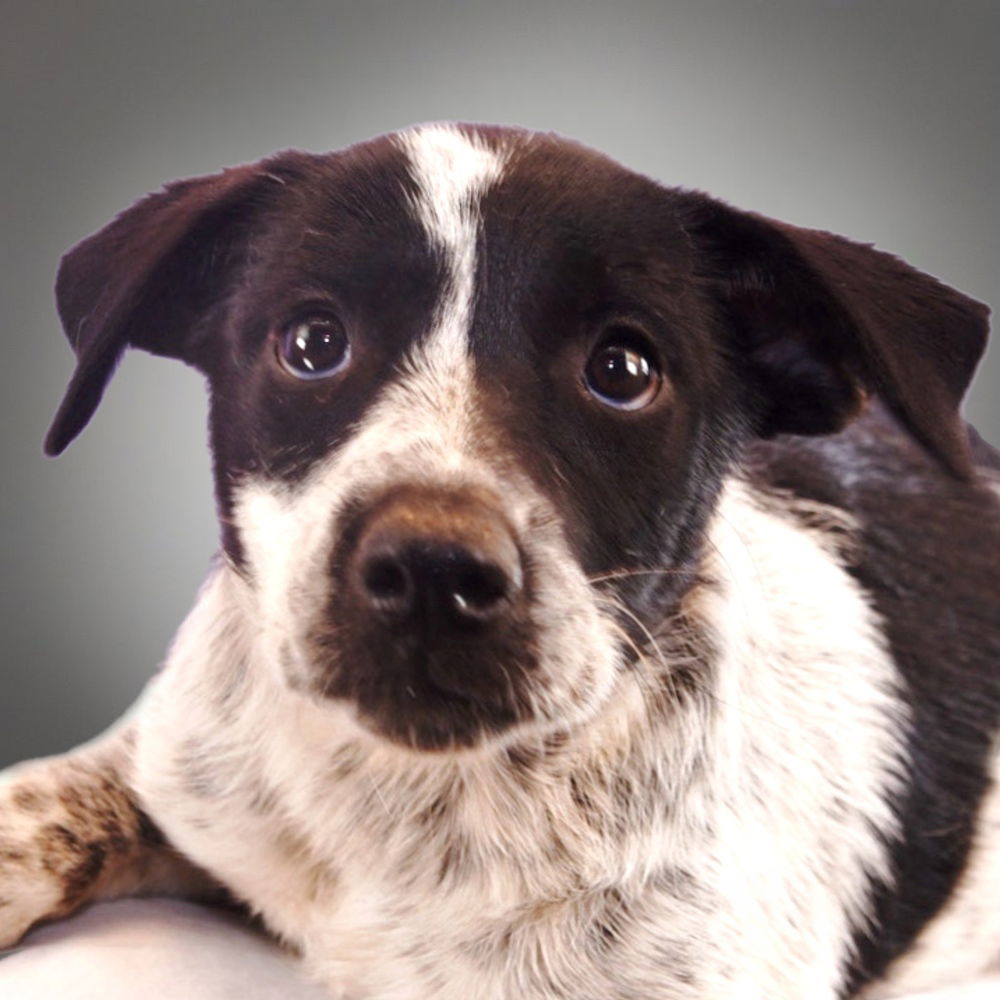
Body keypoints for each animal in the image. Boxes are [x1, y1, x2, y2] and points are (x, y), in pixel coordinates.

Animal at [0, 121, 996, 996]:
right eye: (312, 343)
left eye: (624, 370)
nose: (432, 572)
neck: (421, 808)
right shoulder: (178, 762)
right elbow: (45, 802)